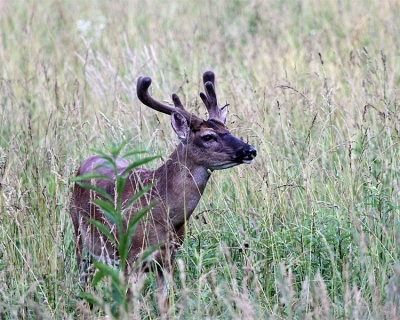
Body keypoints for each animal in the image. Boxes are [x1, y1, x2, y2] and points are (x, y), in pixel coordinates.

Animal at [69, 70, 256, 302]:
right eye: (208, 136)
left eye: (227, 129)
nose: (250, 150)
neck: (162, 211)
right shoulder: (130, 256)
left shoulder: (169, 257)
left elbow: (164, 302)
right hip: (79, 234)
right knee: (84, 280)